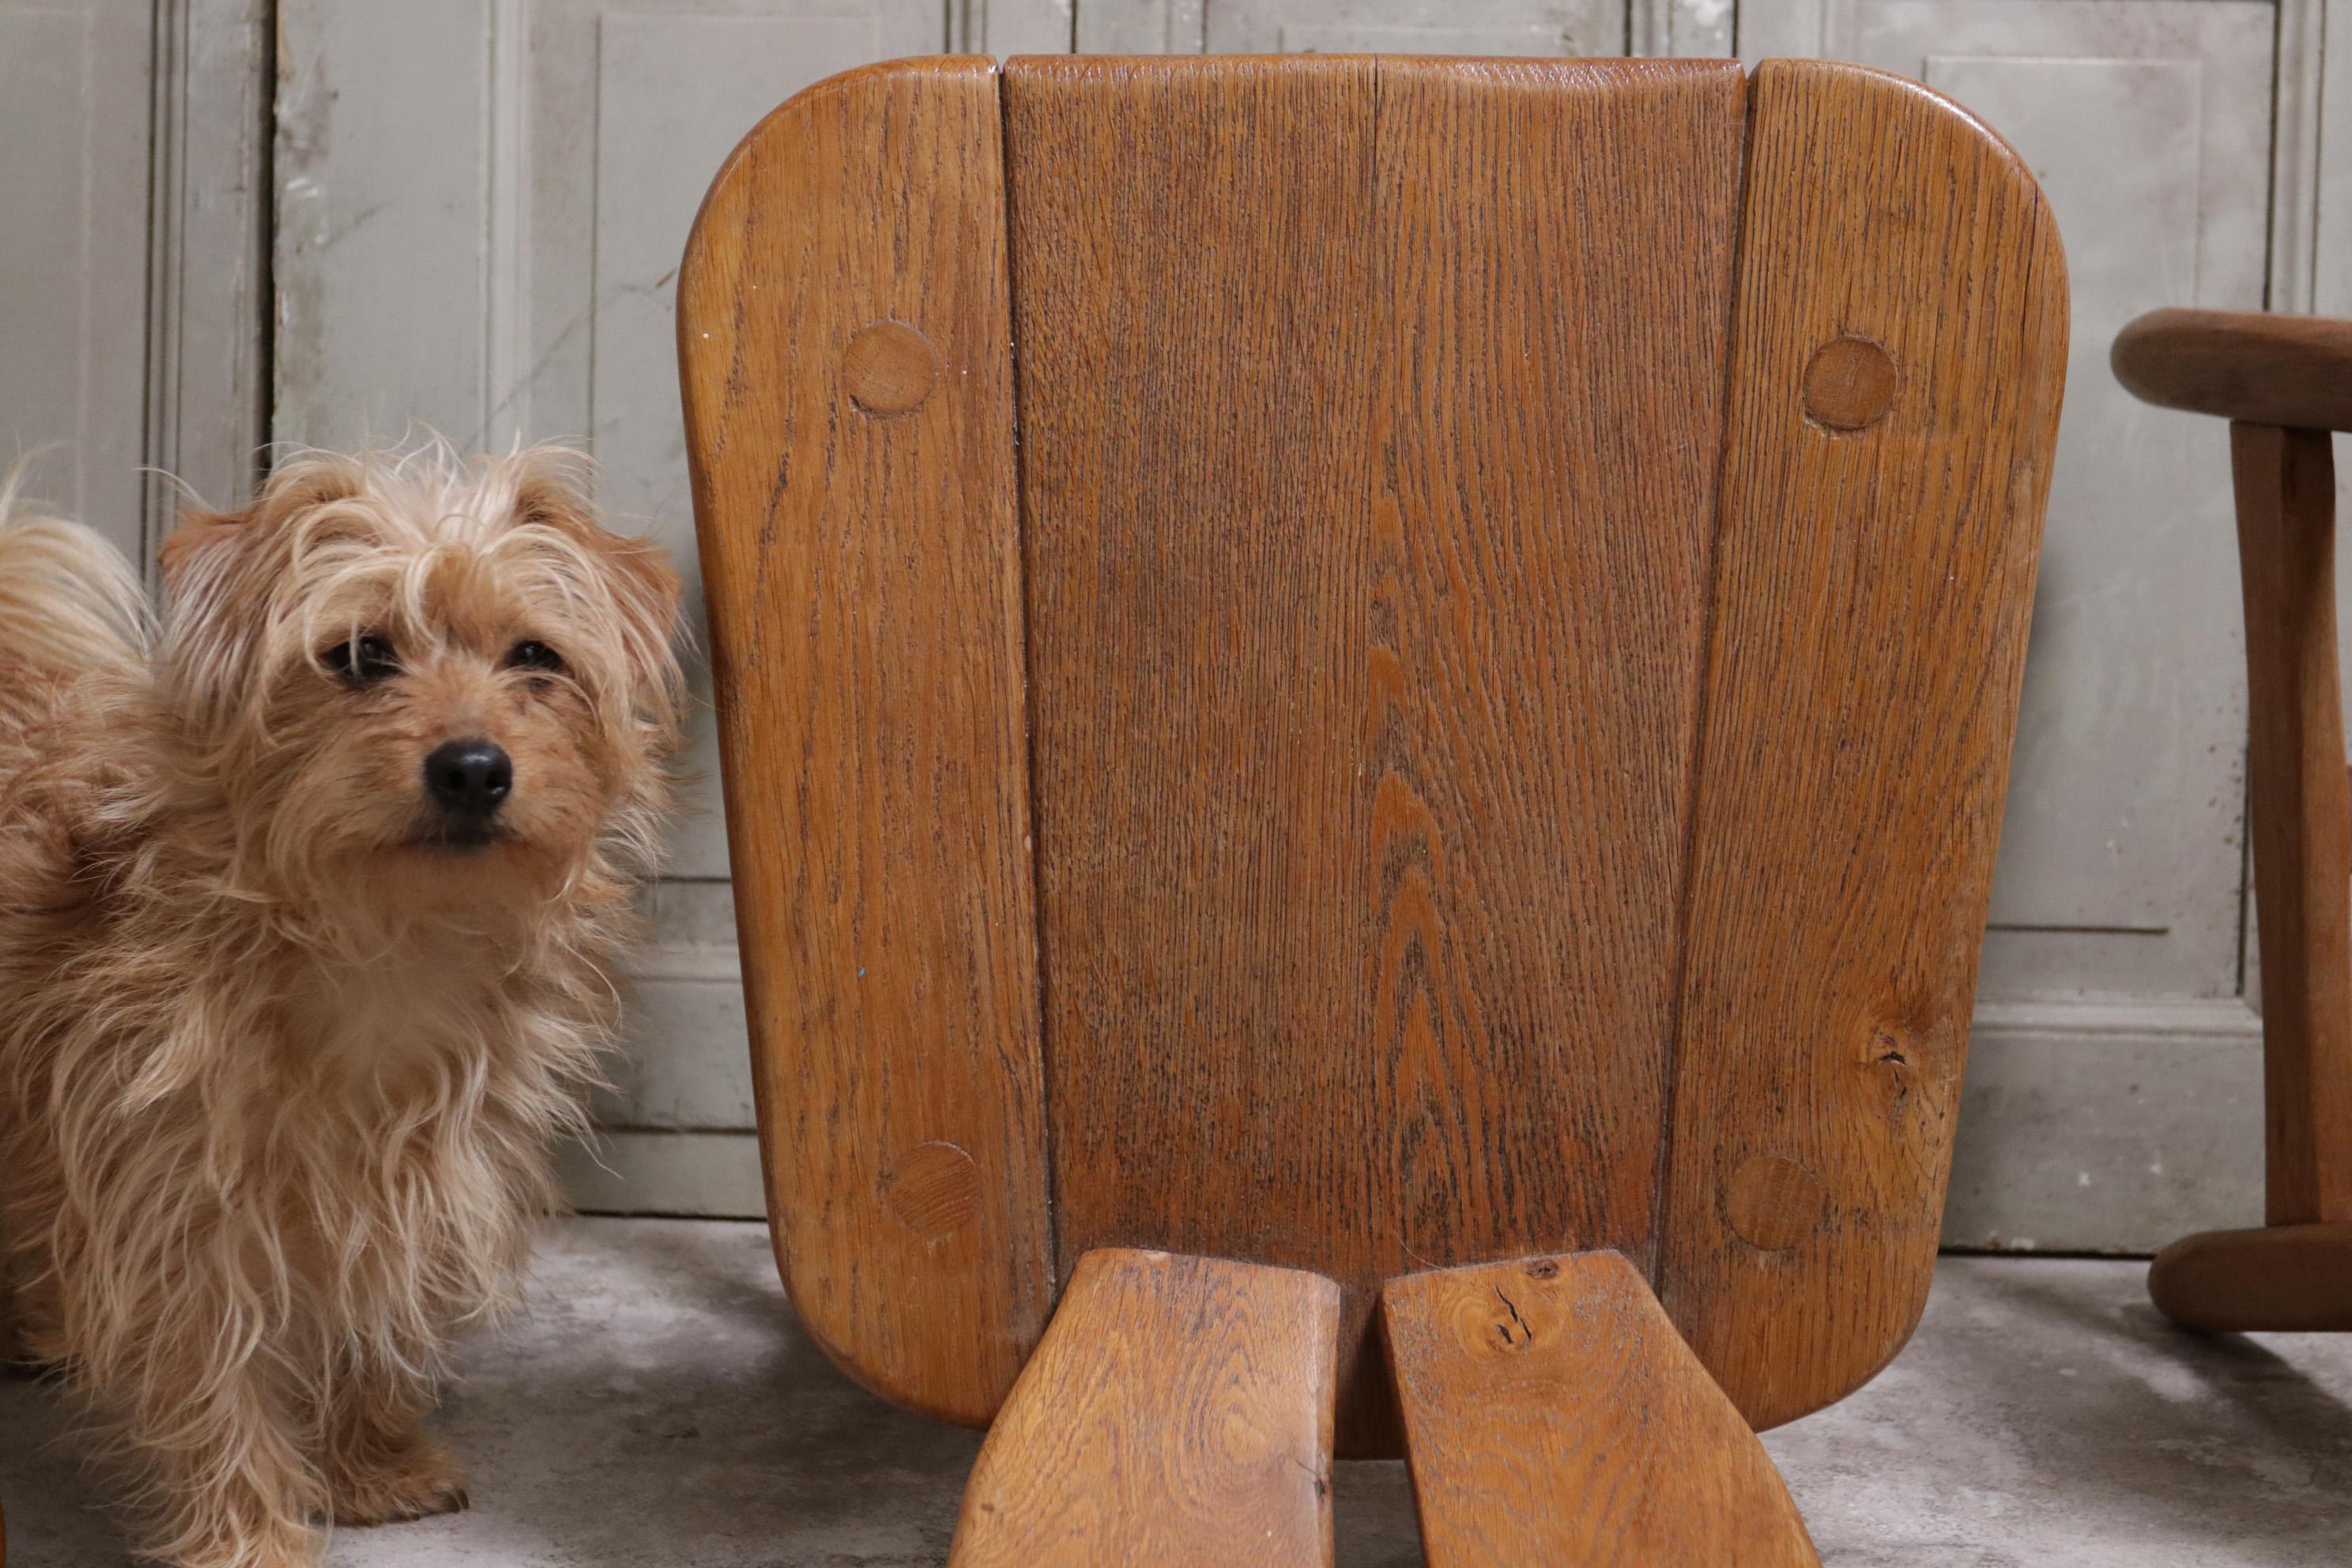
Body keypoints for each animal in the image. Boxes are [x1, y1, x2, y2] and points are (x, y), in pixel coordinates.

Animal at [0, 447, 682, 1561]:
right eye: (361, 655)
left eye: (535, 657)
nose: (473, 768)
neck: (380, 947)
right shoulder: (179, 1198)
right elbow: (214, 1375)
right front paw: (248, 1533)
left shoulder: (409, 1164)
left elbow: (368, 1303)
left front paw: (367, 1462)